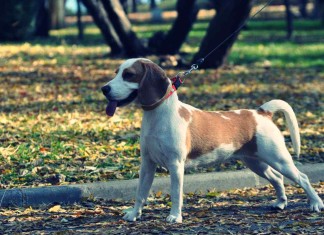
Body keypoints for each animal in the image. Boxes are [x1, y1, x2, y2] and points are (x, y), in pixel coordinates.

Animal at [100, 57, 322, 223]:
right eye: (116, 72)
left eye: (129, 75)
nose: (104, 89)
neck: (158, 114)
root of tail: (261, 112)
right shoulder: (147, 163)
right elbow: (140, 192)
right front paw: (134, 214)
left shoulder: (175, 165)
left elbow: (176, 193)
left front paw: (174, 217)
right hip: (256, 162)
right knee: (277, 178)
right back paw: (281, 203)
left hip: (279, 159)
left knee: (302, 178)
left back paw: (315, 204)